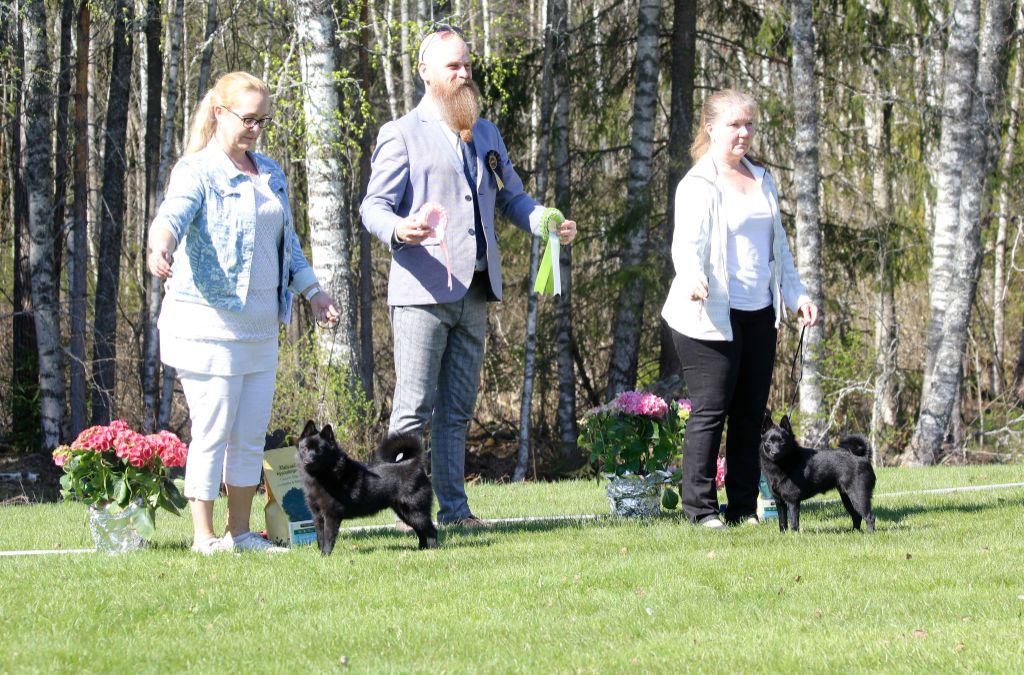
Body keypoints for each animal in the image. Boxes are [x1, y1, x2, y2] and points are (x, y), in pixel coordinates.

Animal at [296, 422, 440, 553]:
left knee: (432, 531)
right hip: (406, 513)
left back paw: (432, 550)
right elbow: (320, 537)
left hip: (415, 511)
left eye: (319, 450)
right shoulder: (317, 515)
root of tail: (413, 462)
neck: (322, 476)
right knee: (421, 532)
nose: (308, 462)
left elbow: (328, 538)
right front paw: (320, 555)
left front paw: (326, 555)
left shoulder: (331, 514)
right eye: (305, 448)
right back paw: (421, 549)